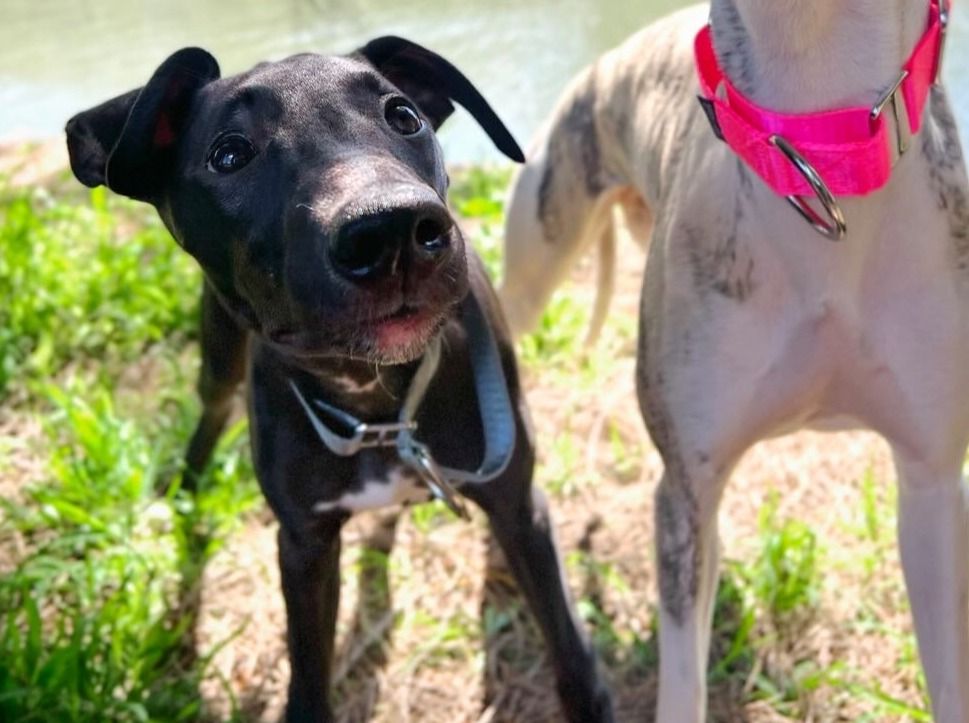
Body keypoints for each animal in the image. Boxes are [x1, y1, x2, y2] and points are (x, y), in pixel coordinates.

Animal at [64, 38, 612, 723]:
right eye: (229, 154)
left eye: (403, 115)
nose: (394, 231)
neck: (377, 406)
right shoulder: (304, 546)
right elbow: (308, 676)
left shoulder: (518, 505)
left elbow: (570, 649)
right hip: (218, 356)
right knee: (210, 412)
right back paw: (187, 490)